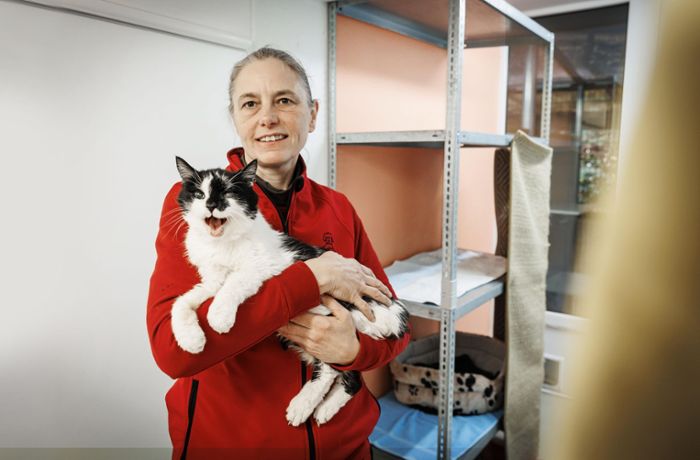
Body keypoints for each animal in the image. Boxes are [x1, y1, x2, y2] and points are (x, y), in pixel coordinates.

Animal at [170, 157, 410, 428]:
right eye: (199, 194)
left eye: (229, 192)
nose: (212, 205)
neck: (222, 244)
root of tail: (397, 311)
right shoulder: (211, 282)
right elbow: (181, 302)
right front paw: (191, 339)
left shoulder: (264, 265)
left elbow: (235, 281)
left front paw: (219, 317)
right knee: (350, 376)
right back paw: (325, 409)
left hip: (338, 313)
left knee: (330, 369)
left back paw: (302, 406)